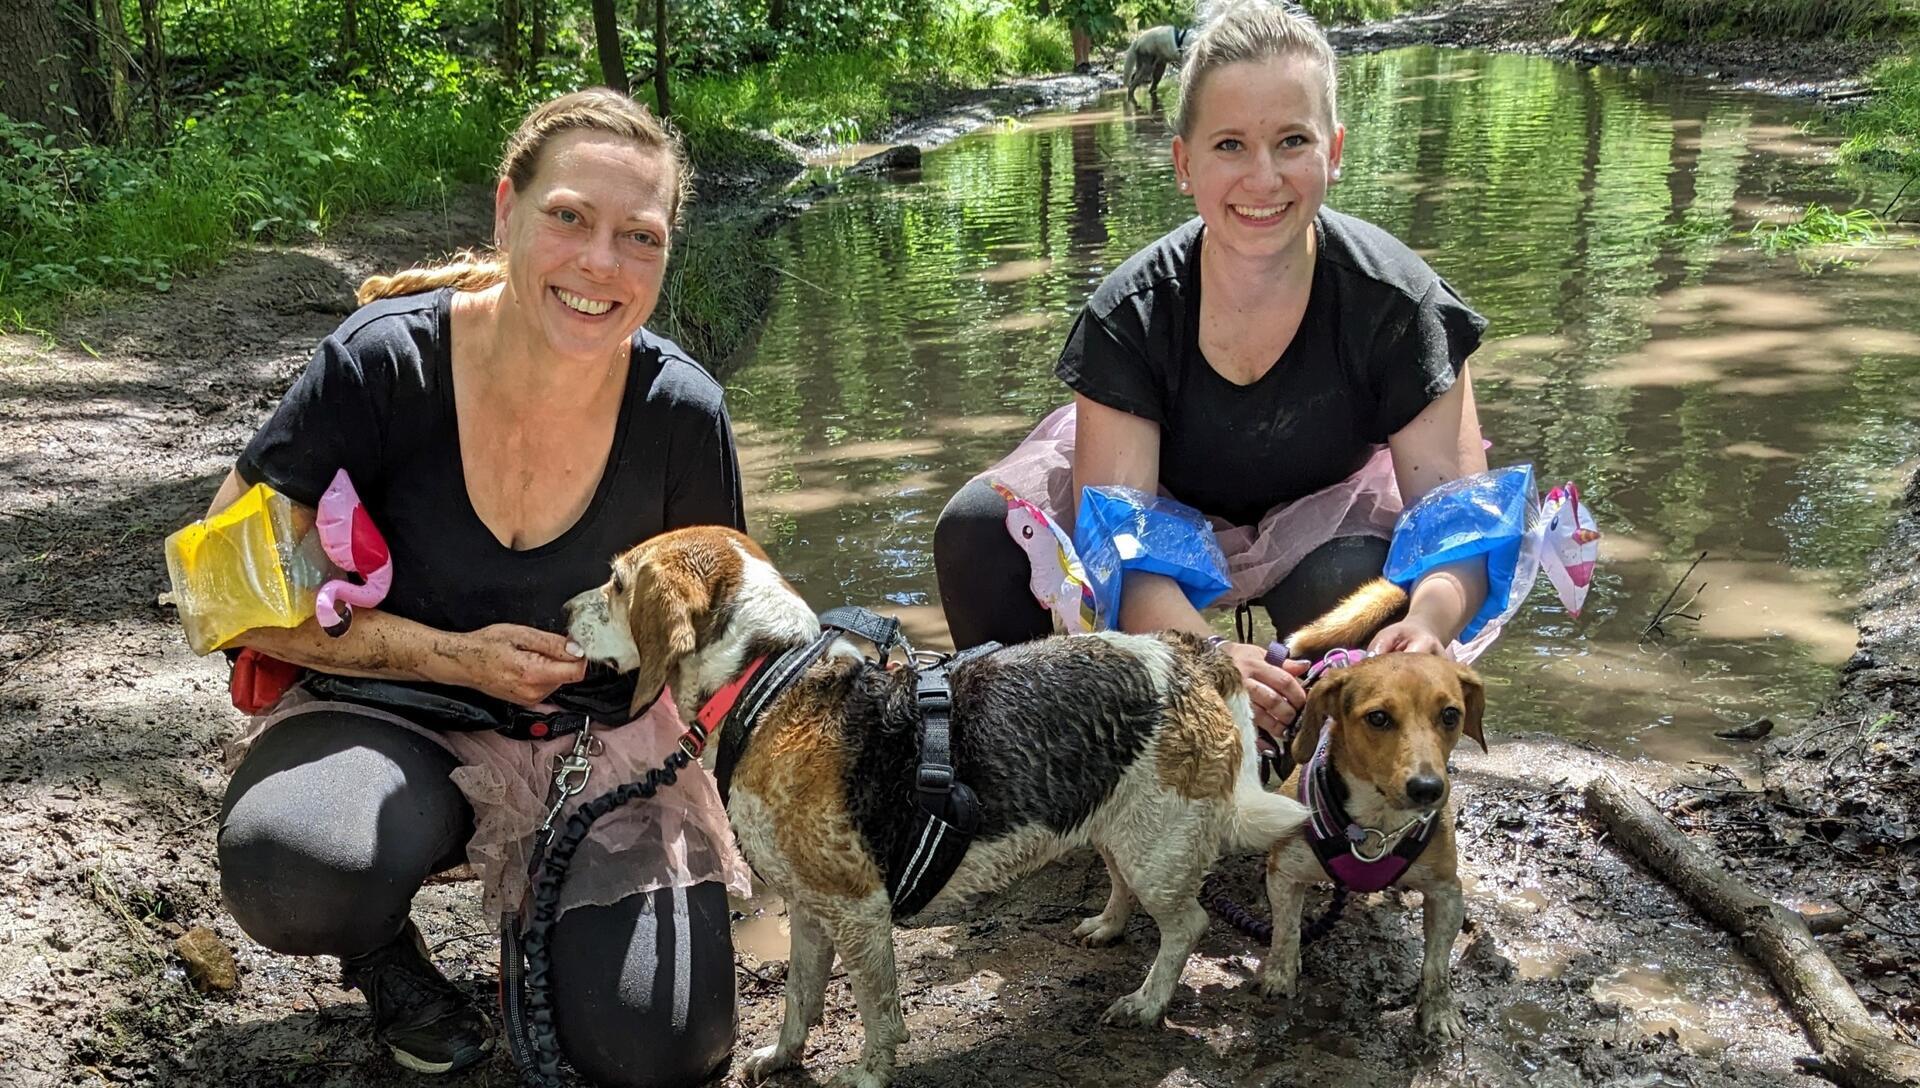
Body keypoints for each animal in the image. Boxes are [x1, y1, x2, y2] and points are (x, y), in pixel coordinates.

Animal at [568, 525, 1313, 1082]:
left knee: (1187, 925)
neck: (770, 676)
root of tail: (1187, 654)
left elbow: (879, 1015)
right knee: (1128, 886)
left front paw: (867, 1075)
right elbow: (799, 999)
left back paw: (1149, 1001)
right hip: (1119, 822)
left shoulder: (857, 912)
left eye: (618, 583)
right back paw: (1108, 926)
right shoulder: (807, 910)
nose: (563, 613)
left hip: (1157, 847)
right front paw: (781, 1057)